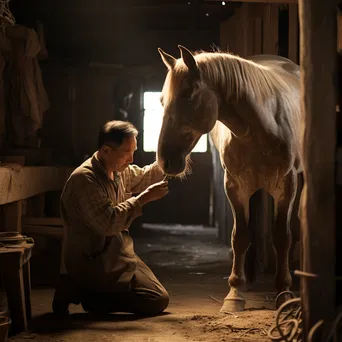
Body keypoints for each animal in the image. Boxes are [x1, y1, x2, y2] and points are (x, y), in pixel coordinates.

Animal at [156, 44, 300, 312]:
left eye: (188, 94)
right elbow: (240, 236)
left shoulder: (287, 185)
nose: (165, 160)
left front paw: (284, 292)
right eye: (162, 100)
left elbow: (282, 237)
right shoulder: (235, 187)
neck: (261, 127)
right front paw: (235, 294)